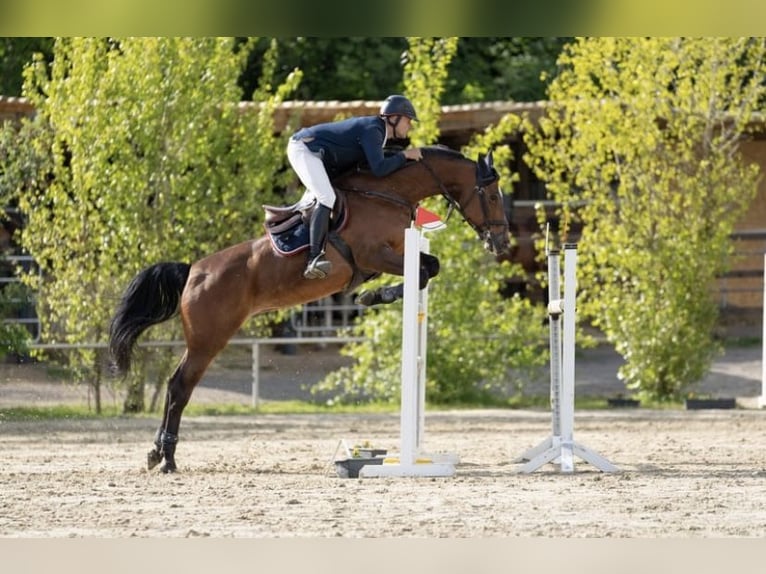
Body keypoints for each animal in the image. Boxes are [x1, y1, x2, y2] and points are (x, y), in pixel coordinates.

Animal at [108, 145, 512, 472]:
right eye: (492, 195)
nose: (503, 243)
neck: (387, 193)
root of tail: (192, 270)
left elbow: (430, 267)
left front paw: (371, 296)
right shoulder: (374, 255)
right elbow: (426, 270)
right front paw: (371, 297)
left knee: (175, 386)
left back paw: (155, 454)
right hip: (209, 340)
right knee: (179, 387)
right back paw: (167, 459)